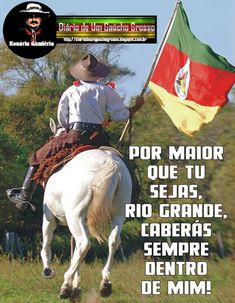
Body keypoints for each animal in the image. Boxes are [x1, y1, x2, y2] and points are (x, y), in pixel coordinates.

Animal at [40, 146, 132, 300]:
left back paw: (65, 285)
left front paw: (48, 270)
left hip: (74, 216)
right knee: (113, 241)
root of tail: (109, 162)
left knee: (84, 243)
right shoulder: (86, 224)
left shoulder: (49, 218)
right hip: (119, 214)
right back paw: (105, 284)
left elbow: (46, 245)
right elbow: (76, 254)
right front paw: (76, 286)